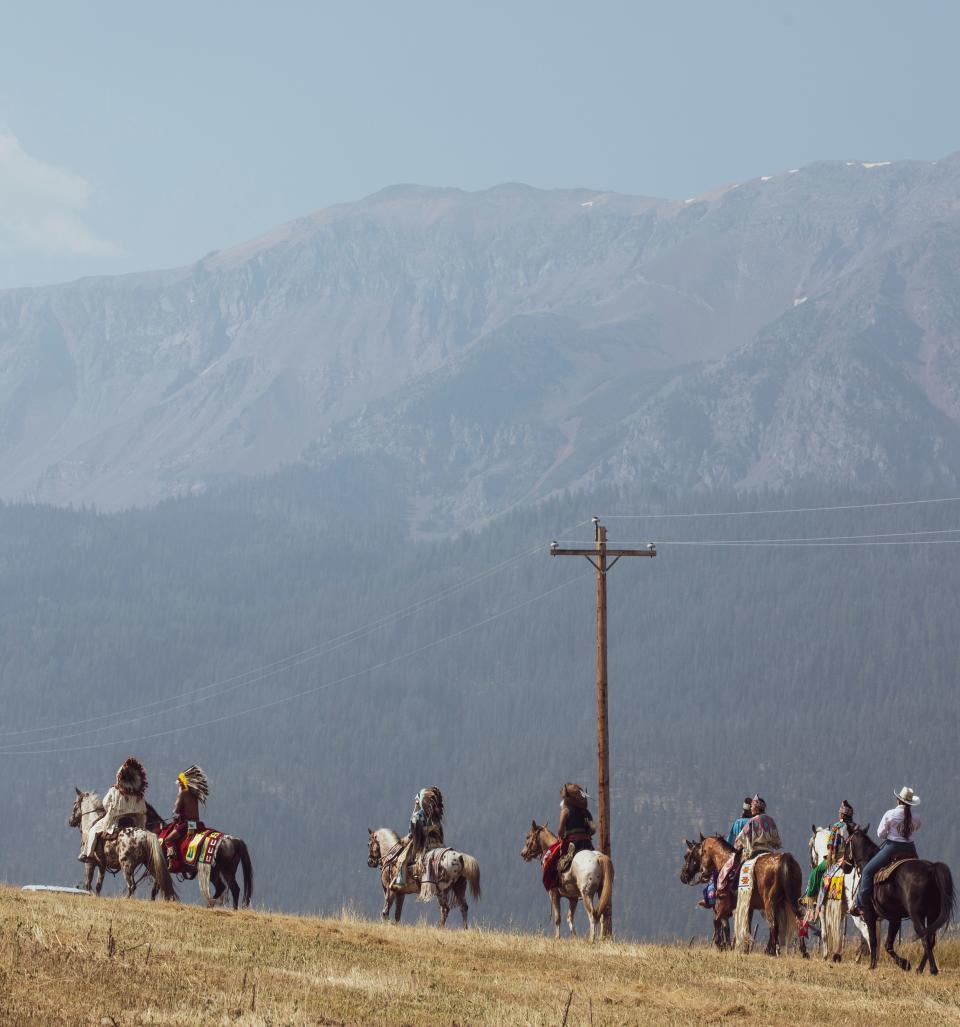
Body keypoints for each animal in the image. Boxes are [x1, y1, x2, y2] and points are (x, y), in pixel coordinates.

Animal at [677, 833, 809, 953]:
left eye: (687, 855)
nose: (683, 876)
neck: (724, 862)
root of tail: (786, 858)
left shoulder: (723, 905)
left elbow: (718, 922)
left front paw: (721, 944)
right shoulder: (748, 907)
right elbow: (746, 927)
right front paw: (742, 948)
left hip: (770, 903)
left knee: (774, 926)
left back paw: (772, 951)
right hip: (791, 899)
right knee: (798, 920)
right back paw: (802, 951)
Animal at [809, 821, 874, 957]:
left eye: (810, 845)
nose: (812, 864)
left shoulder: (822, 907)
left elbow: (825, 933)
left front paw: (826, 954)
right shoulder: (841, 910)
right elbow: (838, 930)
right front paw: (836, 954)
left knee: (867, 934)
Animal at [841, 825, 952, 969]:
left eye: (846, 843)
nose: (844, 867)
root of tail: (931, 868)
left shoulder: (869, 915)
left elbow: (873, 941)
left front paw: (872, 965)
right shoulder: (895, 918)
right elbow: (888, 944)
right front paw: (904, 964)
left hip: (917, 915)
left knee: (925, 939)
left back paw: (932, 969)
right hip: (933, 913)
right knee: (931, 939)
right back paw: (920, 969)